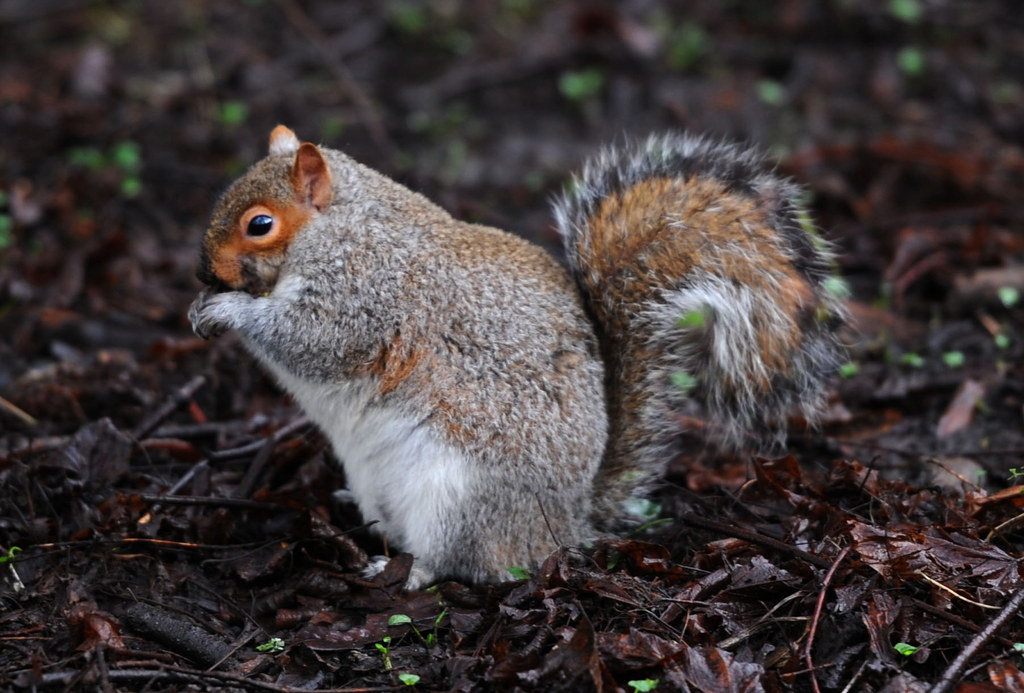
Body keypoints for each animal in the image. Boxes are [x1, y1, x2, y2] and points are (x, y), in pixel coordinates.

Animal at [188, 122, 843, 585]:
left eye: (260, 224)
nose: (203, 272)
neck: (342, 229)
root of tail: (566, 524)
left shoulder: (365, 295)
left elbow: (311, 339)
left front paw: (226, 311)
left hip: (460, 497)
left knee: (462, 560)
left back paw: (409, 571)